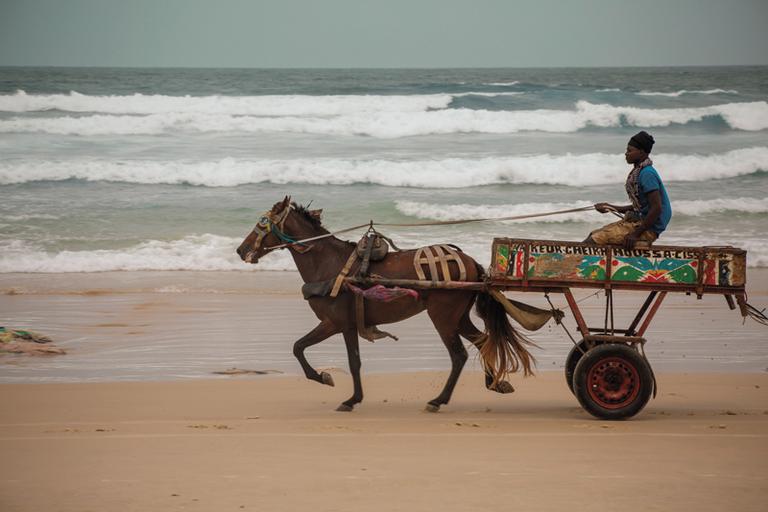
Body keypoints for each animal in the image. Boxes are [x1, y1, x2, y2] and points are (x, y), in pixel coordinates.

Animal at [236, 196, 536, 412]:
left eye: (262, 222)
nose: (241, 250)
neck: (329, 264)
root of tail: (470, 261)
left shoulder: (338, 323)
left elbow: (336, 357)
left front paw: (340, 391)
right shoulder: (339, 324)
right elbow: (304, 348)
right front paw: (336, 385)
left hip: (443, 317)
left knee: (459, 355)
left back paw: (438, 400)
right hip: (457, 317)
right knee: (482, 341)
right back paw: (494, 383)